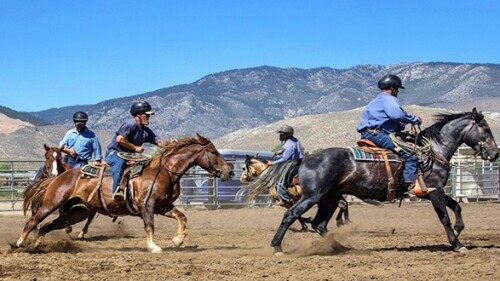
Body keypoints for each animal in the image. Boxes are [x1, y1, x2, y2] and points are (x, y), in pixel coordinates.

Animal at [16, 133, 233, 252]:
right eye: (213, 152)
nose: (229, 171)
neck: (164, 171)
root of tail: (58, 177)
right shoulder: (148, 206)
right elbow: (149, 226)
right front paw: (153, 247)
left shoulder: (164, 206)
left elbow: (182, 217)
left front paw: (178, 239)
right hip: (51, 203)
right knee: (32, 221)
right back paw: (20, 243)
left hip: (75, 213)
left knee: (47, 226)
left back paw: (37, 245)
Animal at [264, 107, 498, 254]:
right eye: (486, 130)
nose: (495, 154)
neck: (433, 151)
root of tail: (304, 159)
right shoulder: (434, 190)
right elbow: (445, 218)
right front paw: (457, 244)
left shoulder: (433, 190)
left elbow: (457, 206)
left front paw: (459, 229)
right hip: (313, 196)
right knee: (292, 215)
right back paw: (276, 247)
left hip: (329, 198)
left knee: (319, 224)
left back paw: (341, 248)